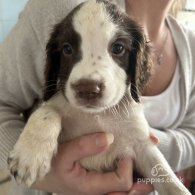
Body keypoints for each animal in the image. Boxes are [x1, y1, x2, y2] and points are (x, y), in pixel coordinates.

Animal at [7, 0, 190, 194]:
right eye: (67, 49)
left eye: (118, 48)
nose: (87, 89)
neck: (98, 116)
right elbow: (47, 111)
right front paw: (28, 156)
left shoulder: (141, 145)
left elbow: (166, 175)